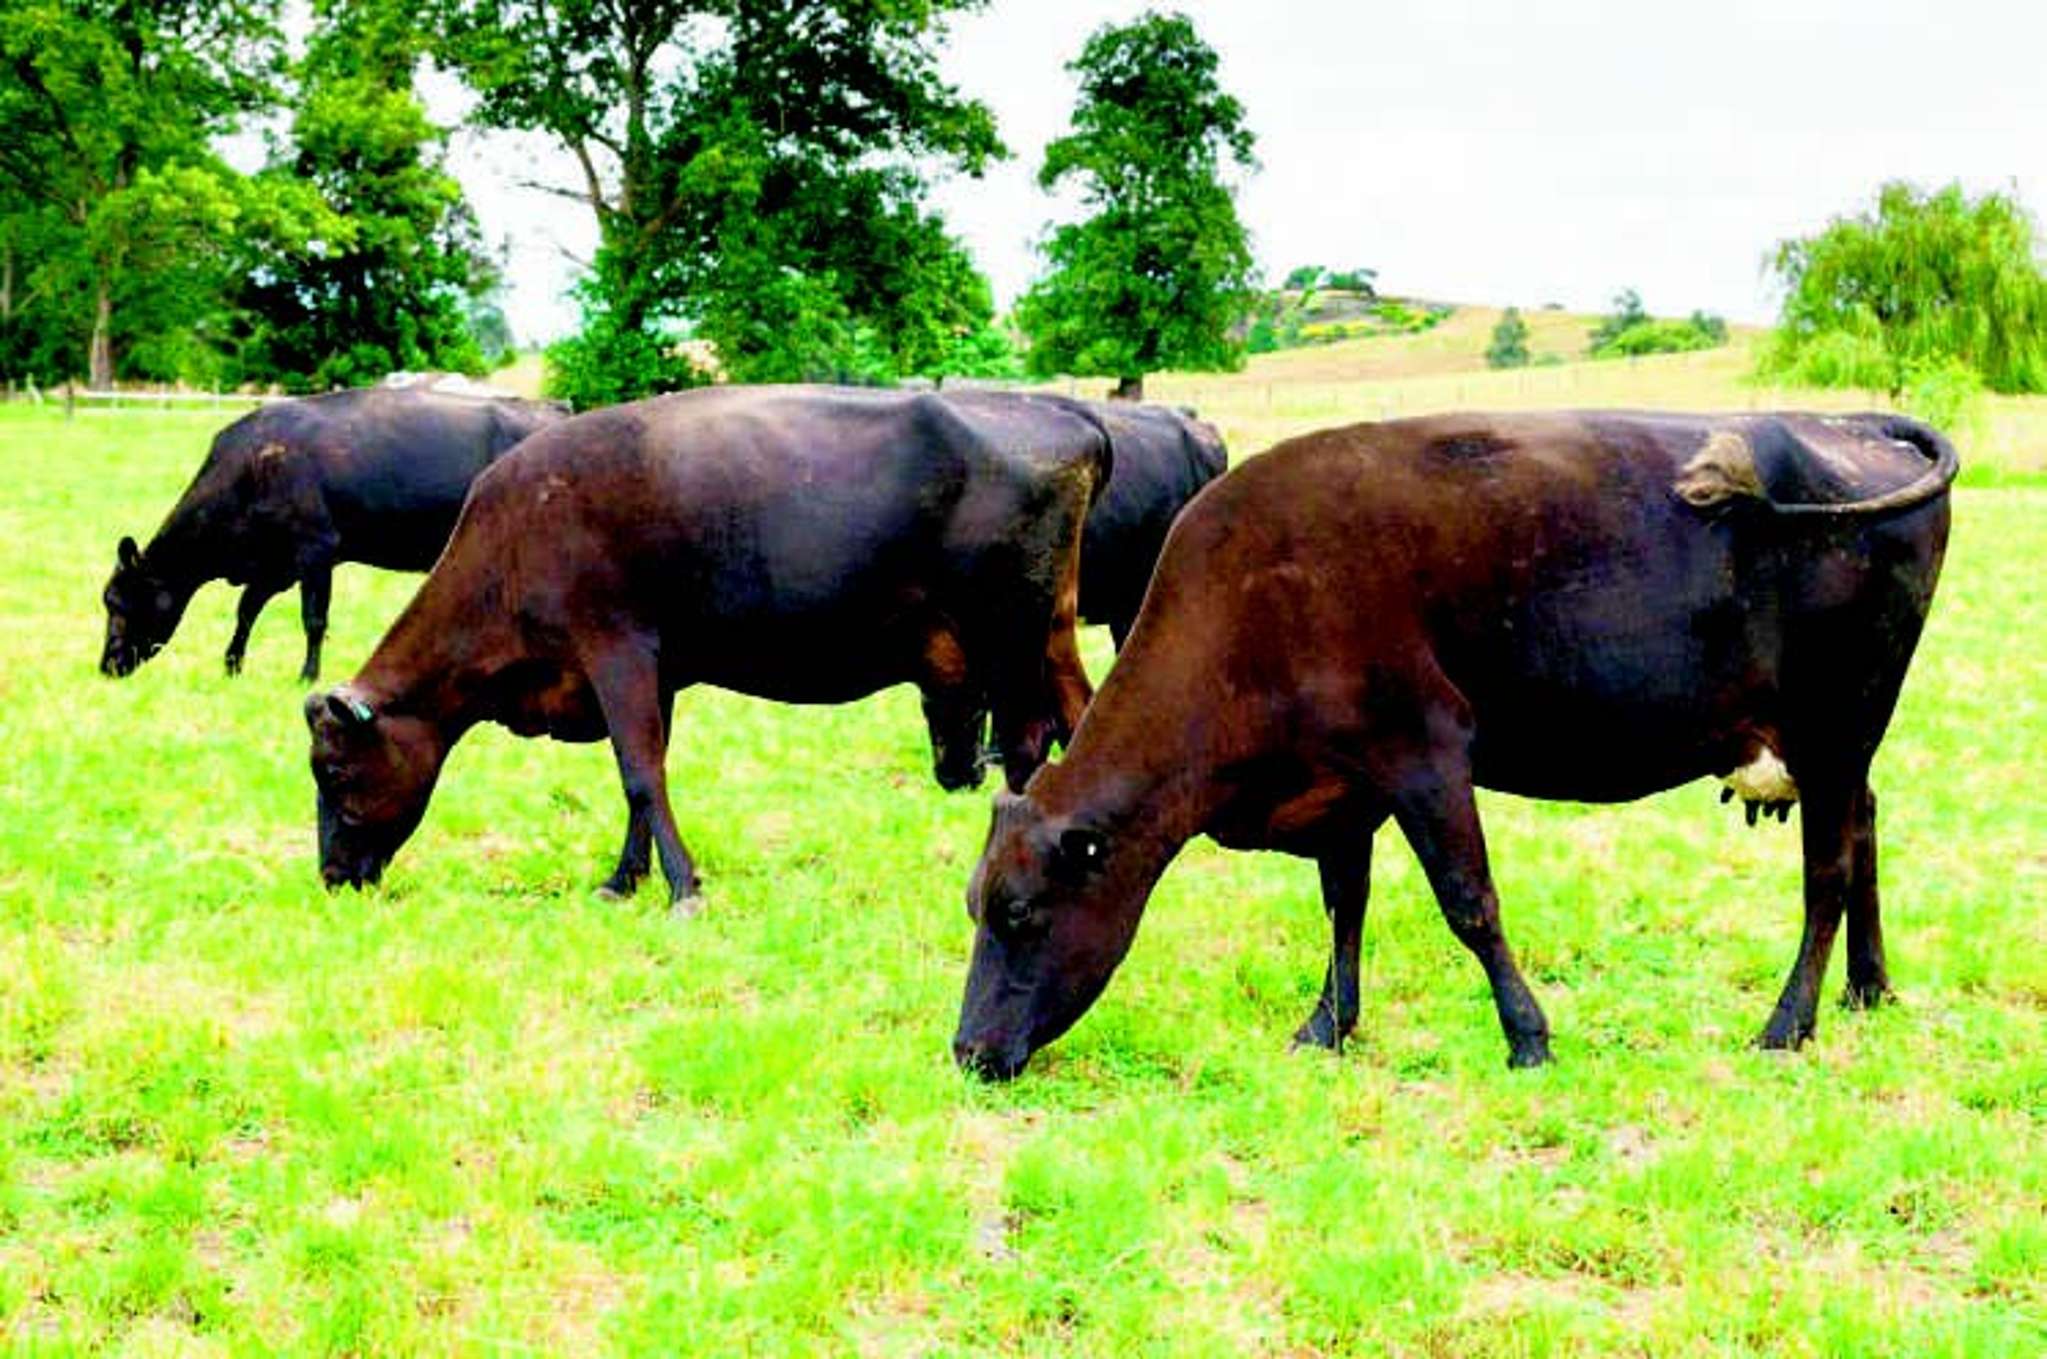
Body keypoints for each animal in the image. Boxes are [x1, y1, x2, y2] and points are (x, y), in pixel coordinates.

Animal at [99, 374, 564, 679]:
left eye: (119, 603)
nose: (106, 666)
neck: (252, 469)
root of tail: (552, 411)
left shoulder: (316, 549)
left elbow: (314, 618)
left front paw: (307, 675)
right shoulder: (275, 563)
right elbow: (247, 609)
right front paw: (232, 665)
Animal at [298, 382, 1121, 908]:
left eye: (333, 770)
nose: (332, 876)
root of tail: (1066, 416)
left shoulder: (615, 648)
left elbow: (639, 773)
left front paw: (681, 888)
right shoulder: (653, 671)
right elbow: (640, 772)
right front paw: (622, 880)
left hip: (1009, 635)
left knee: (1026, 743)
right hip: (1051, 632)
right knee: (1082, 716)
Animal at [949, 409, 1956, 1080]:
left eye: (1020, 914)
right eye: (977, 908)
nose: (965, 1051)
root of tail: (1844, 420)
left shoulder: (1424, 752)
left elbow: (1468, 901)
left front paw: (1527, 1035)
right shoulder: (1342, 785)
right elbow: (1343, 906)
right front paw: (1327, 1025)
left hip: (1837, 722)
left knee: (1825, 871)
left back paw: (1787, 1024)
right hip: (1835, 741)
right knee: (1863, 828)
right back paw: (1869, 987)